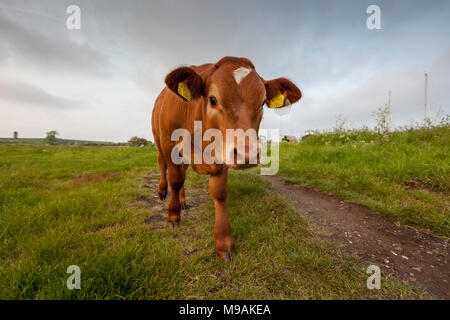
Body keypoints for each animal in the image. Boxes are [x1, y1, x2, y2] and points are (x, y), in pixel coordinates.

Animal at [151, 56, 302, 262]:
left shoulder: (222, 152)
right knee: (163, 166)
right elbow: (175, 180)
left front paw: (224, 242)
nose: (247, 154)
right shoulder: (169, 144)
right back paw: (162, 192)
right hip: (158, 141)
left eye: (263, 103)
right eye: (213, 100)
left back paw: (182, 201)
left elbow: (219, 193)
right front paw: (173, 217)